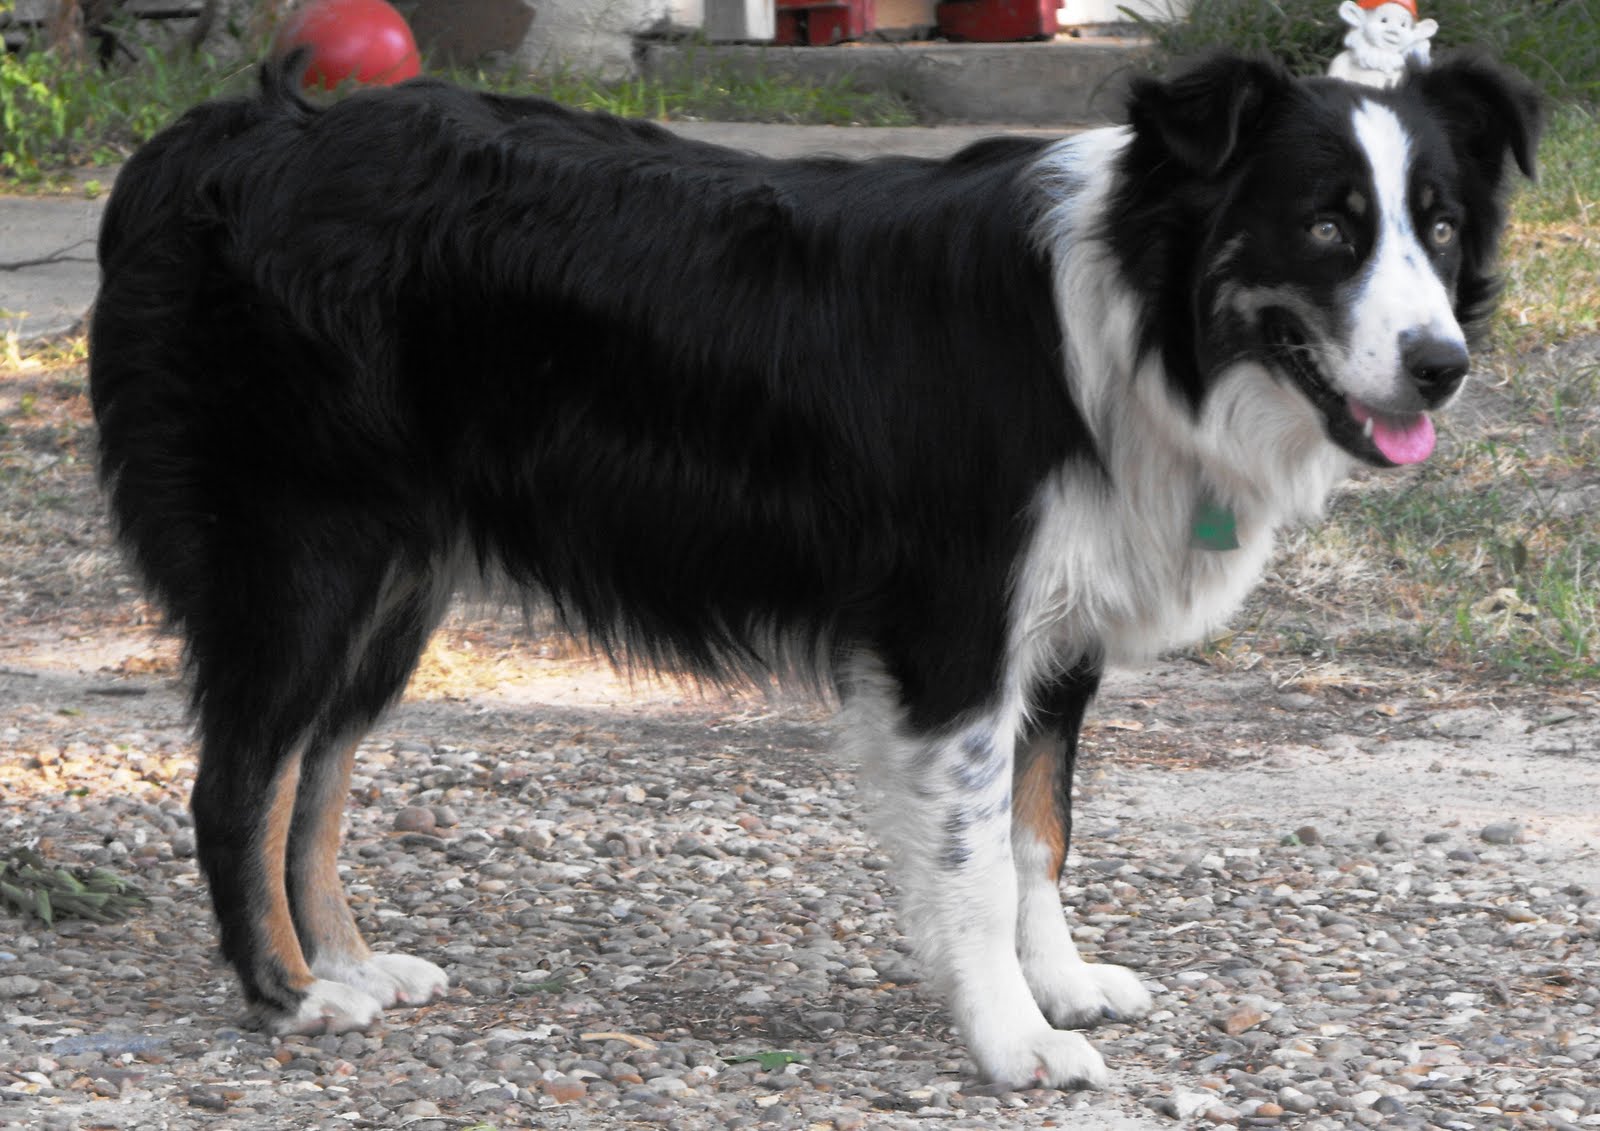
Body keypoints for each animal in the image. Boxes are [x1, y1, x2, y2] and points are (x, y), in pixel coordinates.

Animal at [87, 50, 1536, 1087]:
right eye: (1327, 228)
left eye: (1439, 227)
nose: (1442, 366)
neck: (1136, 314)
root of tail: (238, 134)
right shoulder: (955, 636)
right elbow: (974, 854)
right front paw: (1014, 1038)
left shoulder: (1055, 638)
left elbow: (1040, 831)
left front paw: (1057, 983)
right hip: (310, 557)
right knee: (239, 779)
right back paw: (287, 994)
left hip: (397, 582)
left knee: (314, 774)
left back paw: (346, 958)